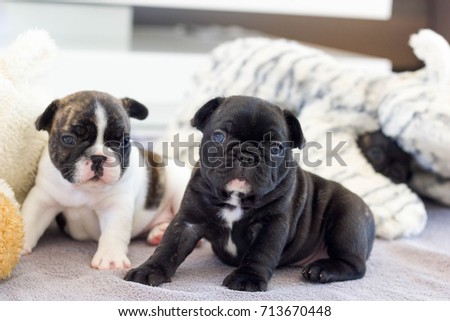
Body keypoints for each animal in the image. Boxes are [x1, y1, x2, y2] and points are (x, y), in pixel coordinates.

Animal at [125, 95, 374, 290]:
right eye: (219, 136)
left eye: (276, 148)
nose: (246, 154)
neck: (235, 198)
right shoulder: (188, 220)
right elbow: (170, 246)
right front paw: (149, 270)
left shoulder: (271, 225)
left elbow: (260, 253)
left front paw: (247, 279)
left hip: (346, 220)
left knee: (355, 265)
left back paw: (322, 269)